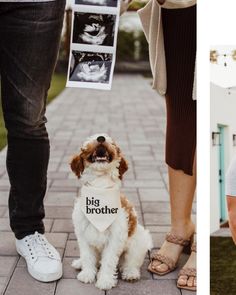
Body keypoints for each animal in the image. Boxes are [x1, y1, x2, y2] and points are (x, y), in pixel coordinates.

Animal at [70, 135, 152, 292]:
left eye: (112, 141)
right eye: (90, 139)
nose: (101, 138)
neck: (100, 186)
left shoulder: (115, 238)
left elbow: (108, 261)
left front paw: (105, 281)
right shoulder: (83, 233)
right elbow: (87, 256)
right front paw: (87, 274)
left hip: (138, 240)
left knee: (131, 262)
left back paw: (131, 273)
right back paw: (80, 263)